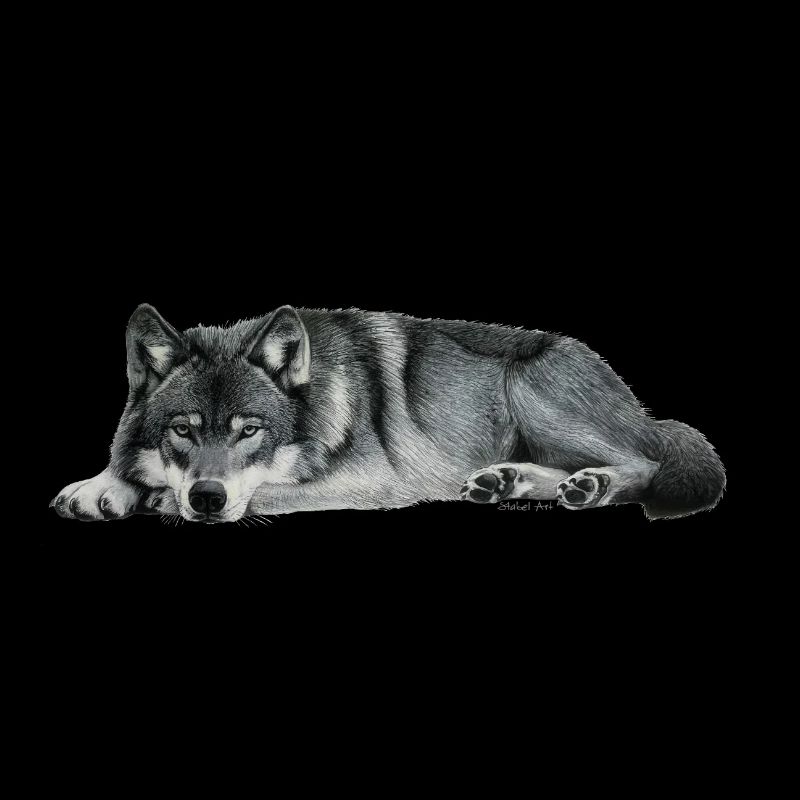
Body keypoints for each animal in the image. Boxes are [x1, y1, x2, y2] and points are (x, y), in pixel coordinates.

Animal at [51, 304, 725, 523]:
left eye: (250, 431)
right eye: (183, 430)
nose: (207, 498)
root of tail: (643, 409)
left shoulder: (373, 481)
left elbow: (263, 490)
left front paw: (156, 498)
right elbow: (127, 467)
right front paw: (101, 487)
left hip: (534, 391)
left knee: (644, 464)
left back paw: (591, 485)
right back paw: (506, 482)